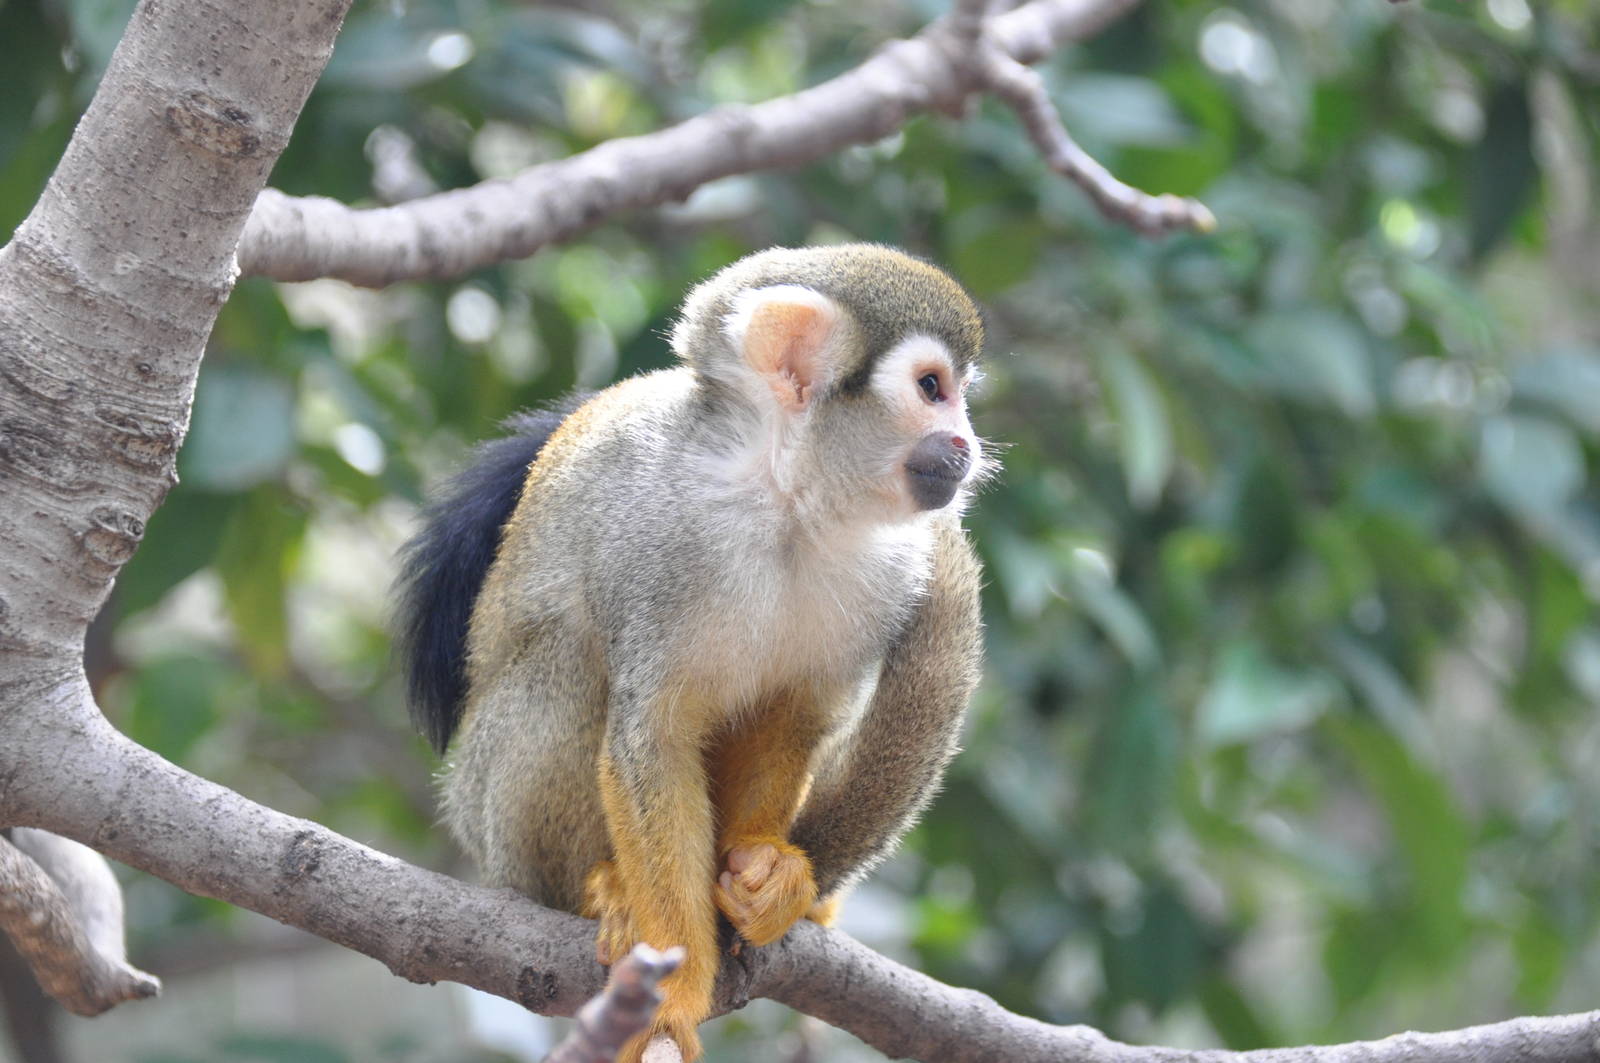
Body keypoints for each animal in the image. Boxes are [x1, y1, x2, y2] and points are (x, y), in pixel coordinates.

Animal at [394, 244, 988, 1062]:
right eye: (932, 388)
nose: (968, 445)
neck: (780, 499)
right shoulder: (655, 536)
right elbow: (652, 737)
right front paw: (671, 991)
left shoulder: (889, 568)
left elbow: (790, 715)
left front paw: (763, 876)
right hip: (491, 818)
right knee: (571, 660)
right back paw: (600, 890)